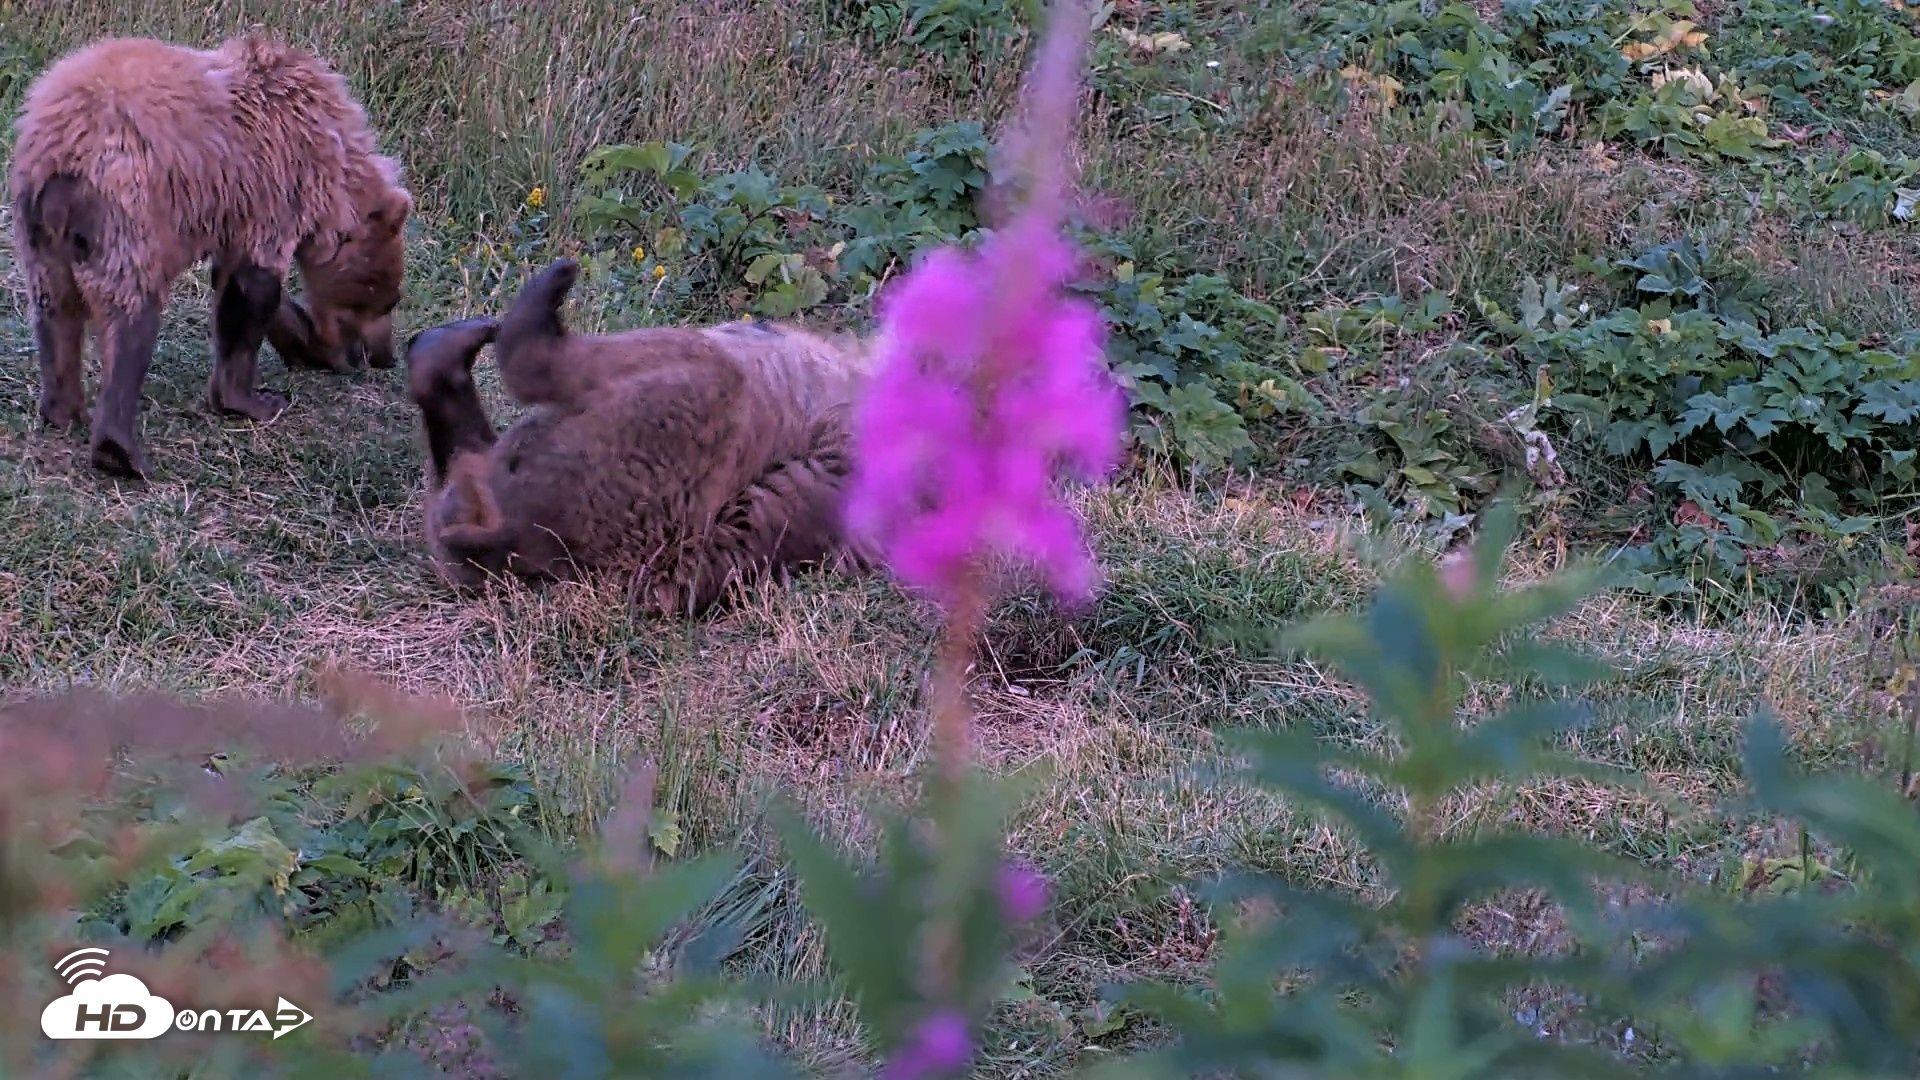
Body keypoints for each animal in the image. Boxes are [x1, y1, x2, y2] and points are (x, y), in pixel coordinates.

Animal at [9, 32, 414, 479]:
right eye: (389, 300)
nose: (386, 356)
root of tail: (62, 152)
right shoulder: (273, 184)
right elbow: (252, 290)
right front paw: (252, 400)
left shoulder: (235, 209)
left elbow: (237, 285)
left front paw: (309, 348)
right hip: (126, 209)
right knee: (132, 316)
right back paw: (120, 450)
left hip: (38, 230)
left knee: (55, 309)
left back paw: (62, 409)